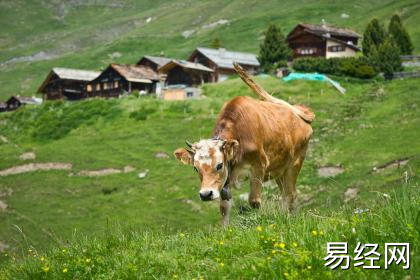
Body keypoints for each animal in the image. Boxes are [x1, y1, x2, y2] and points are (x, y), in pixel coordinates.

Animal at [172, 63, 314, 225]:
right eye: (196, 168)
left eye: (219, 165)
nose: (206, 194)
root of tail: (297, 111)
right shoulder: (226, 179)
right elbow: (224, 207)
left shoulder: (259, 167)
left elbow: (254, 201)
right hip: (280, 169)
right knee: (288, 194)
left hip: (294, 164)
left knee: (289, 194)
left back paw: (285, 218)